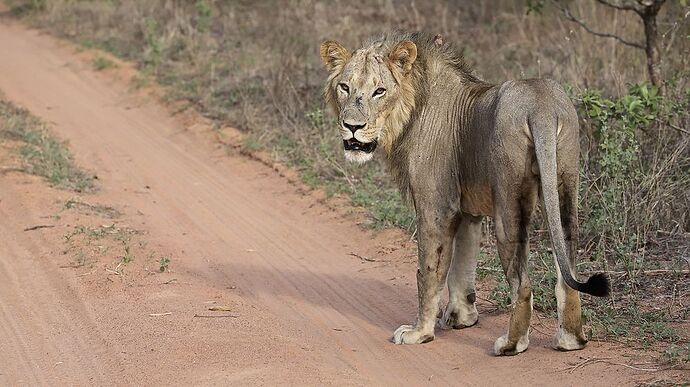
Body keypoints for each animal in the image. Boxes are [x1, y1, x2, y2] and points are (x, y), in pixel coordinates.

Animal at [318, 31, 608, 356]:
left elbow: (429, 272)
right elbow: (463, 264)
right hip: (564, 186)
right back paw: (570, 340)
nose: (352, 127)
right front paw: (462, 317)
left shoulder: (436, 206)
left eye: (379, 91)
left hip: (508, 206)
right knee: (567, 271)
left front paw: (420, 332)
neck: (411, 108)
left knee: (522, 285)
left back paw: (511, 344)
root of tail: (541, 106)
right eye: (345, 87)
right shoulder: (467, 211)